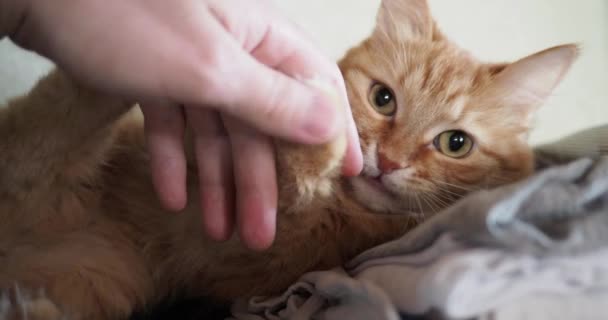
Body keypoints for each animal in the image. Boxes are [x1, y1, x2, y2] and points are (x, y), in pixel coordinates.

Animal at [0, 0, 576, 320]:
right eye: (383, 99)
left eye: (456, 144)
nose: (388, 161)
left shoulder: (252, 256)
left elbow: (289, 186)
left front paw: (314, 135)